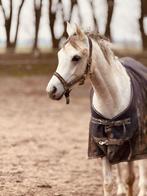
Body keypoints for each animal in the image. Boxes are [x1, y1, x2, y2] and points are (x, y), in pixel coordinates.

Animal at [46, 22, 147, 195]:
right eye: (60, 55)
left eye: (76, 57)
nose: (51, 90)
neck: (112, 99)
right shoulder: (102, 148)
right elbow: (108, 183)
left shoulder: (138, 144)